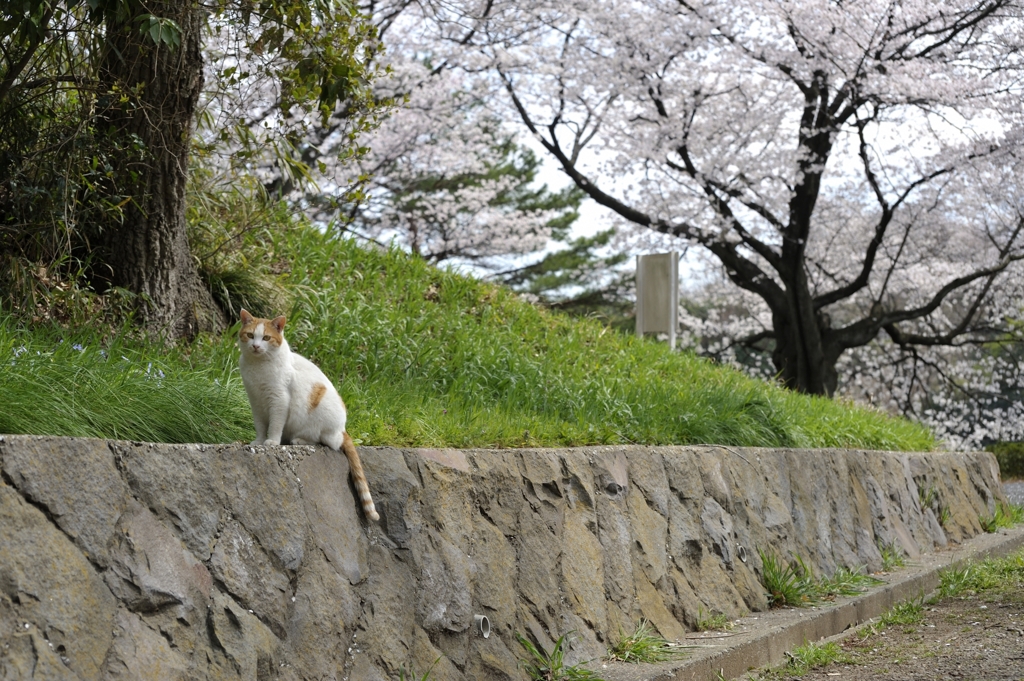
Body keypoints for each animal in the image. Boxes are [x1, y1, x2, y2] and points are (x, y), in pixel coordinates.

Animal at [236, 307, 380, 520]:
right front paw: (259, 440)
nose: (255, 346)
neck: (258, 367)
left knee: (328, 442)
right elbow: (261, 425)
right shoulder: (255, 401)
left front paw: (272, 441)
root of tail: (342, 429)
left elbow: (275, 425)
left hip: (318, 418)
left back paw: (298, 440)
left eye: (266, 338)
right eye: (250, 335)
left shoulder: (279, 400)